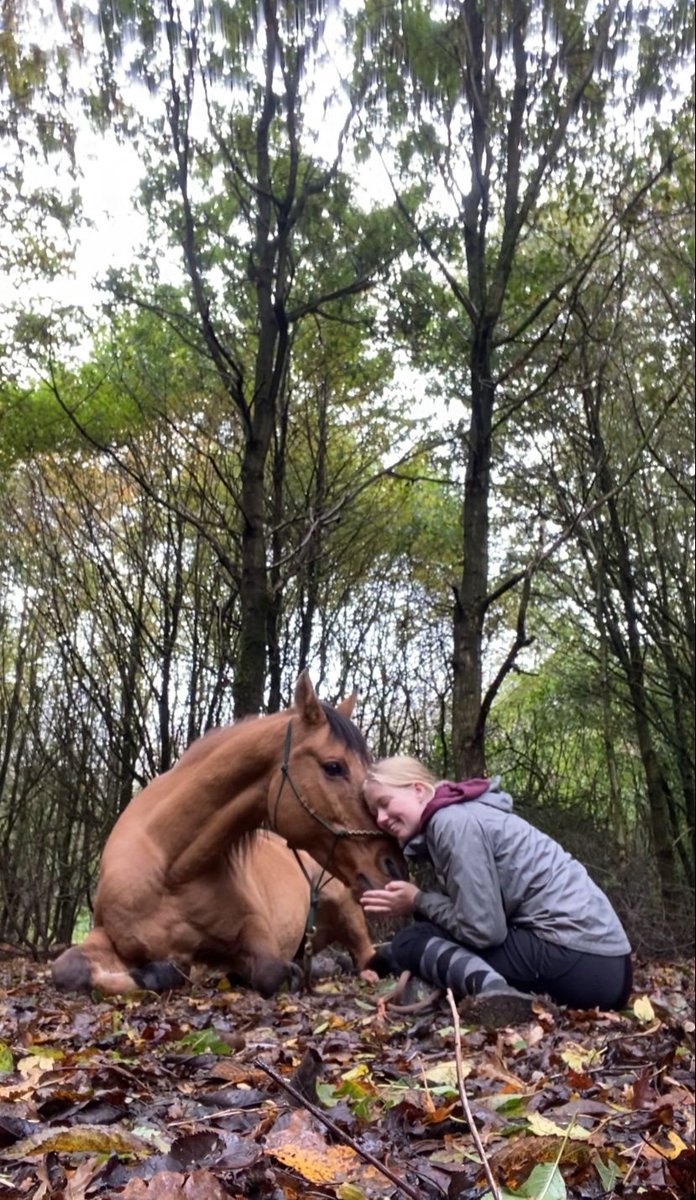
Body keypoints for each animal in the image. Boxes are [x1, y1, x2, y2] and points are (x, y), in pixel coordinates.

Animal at [51, 671, 406, 996]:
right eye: (334, 767)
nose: (393, 865)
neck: (171, 869)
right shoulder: (108, 936)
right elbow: (68, 969)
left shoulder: (256, 934)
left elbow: (270, 972)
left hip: (348, 913)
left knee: (367, 960)